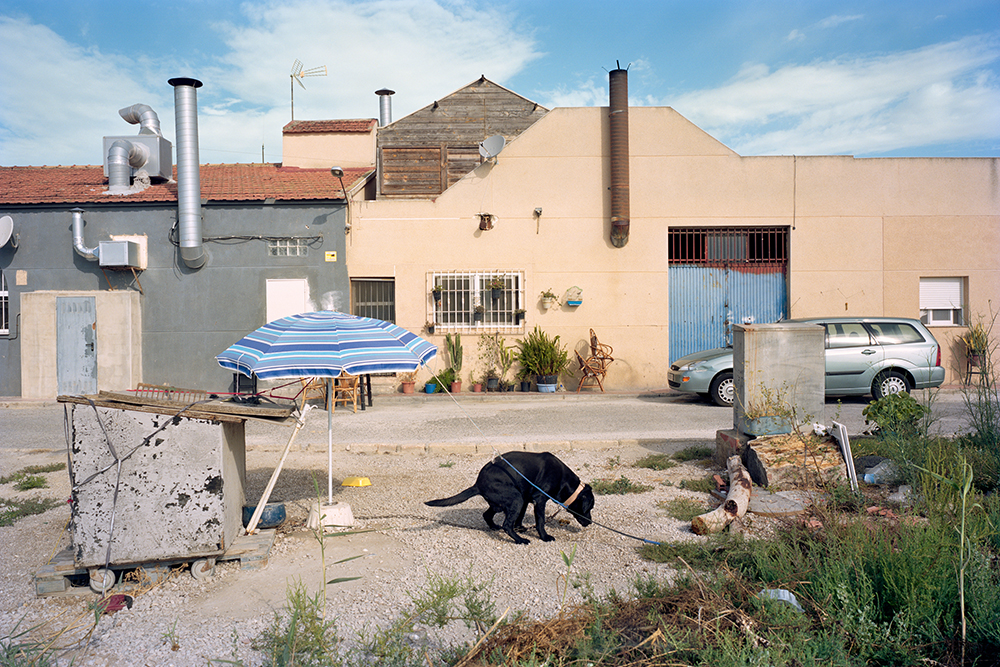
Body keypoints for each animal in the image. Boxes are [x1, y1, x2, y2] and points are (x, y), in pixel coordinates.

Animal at [424, 452, 592, 544]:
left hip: (506, 501)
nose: (590, 522)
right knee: (506, 525)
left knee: (487, 515)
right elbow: (540, 521)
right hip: (515, 498)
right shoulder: (539, 500)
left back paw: (494, 527)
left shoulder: (526, 498)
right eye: (589, 507)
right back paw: (520, 540)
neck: (564, 480)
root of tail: (477, 483)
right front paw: (544, 537)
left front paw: (520, 527)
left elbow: (520, 517)